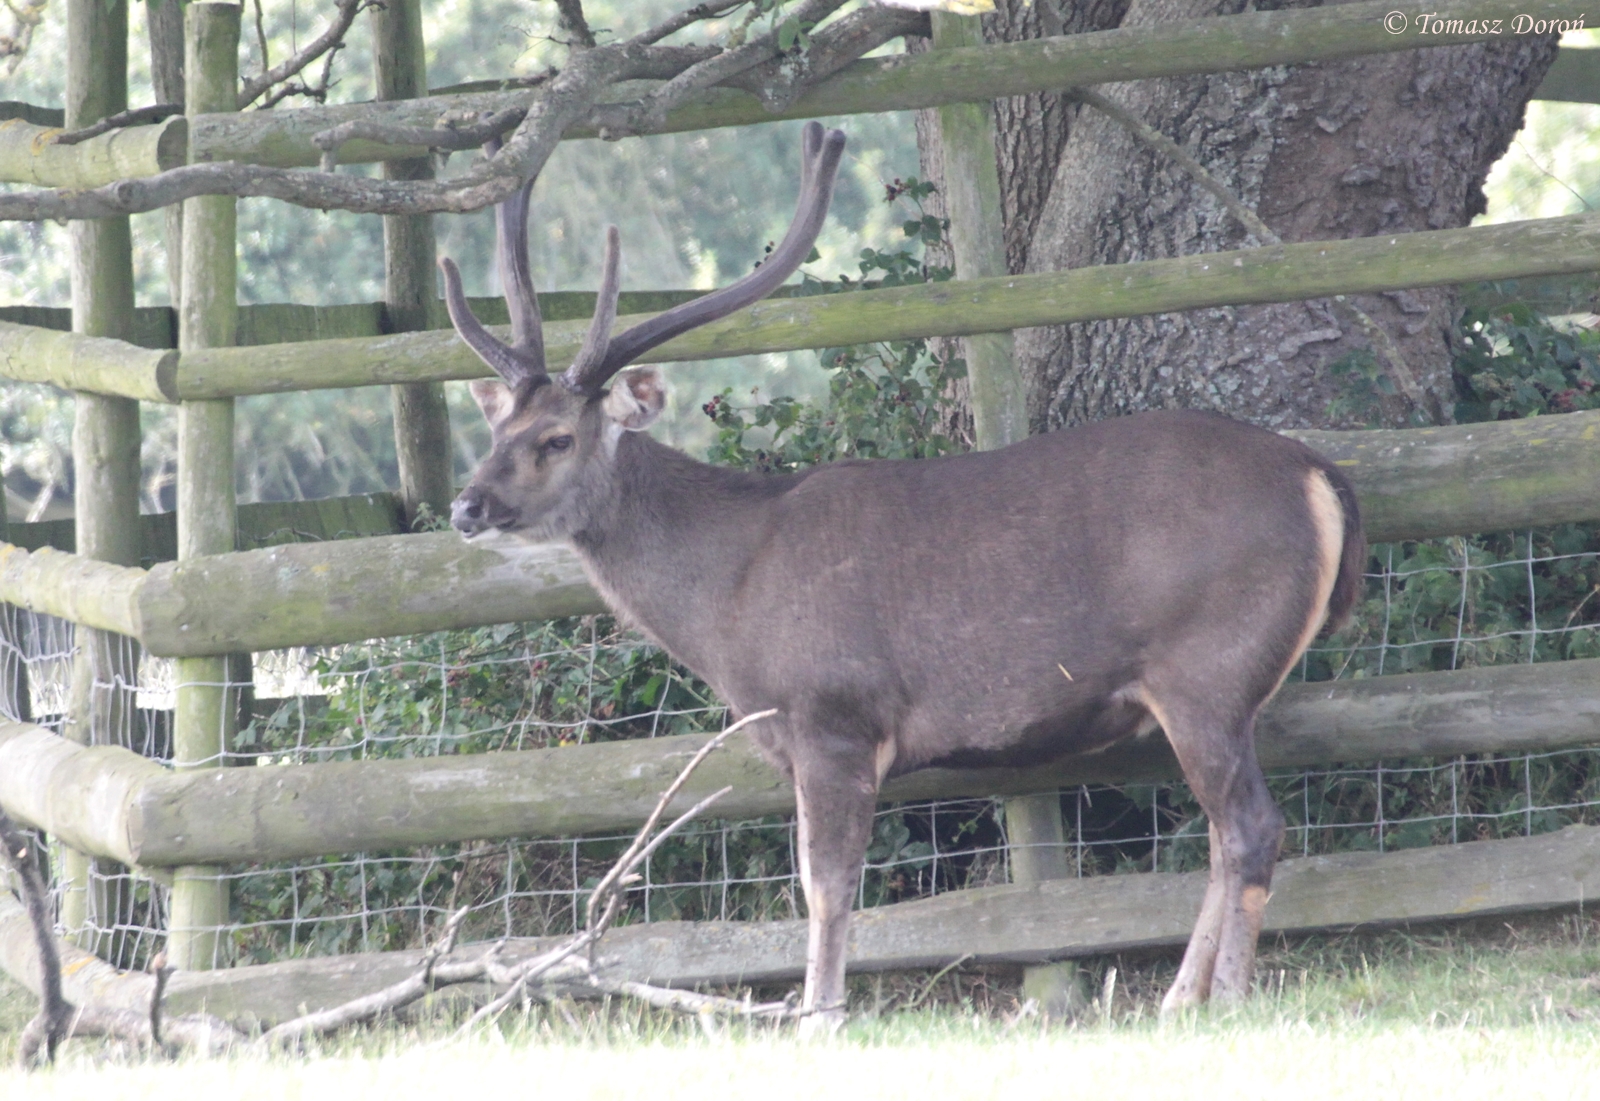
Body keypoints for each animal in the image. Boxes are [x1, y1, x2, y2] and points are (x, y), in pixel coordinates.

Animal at [439, 122, 1365, 1032]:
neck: (728, 599)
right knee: (1218, 833)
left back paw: (1228, 996)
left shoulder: (835, 713)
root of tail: (1319, 473)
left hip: (1209, 664)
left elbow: (825, 886)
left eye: (557, 437)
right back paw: (1180, 997)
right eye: (496, 426)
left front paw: (819, 1016)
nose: (465, 503)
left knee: (1250, 827)